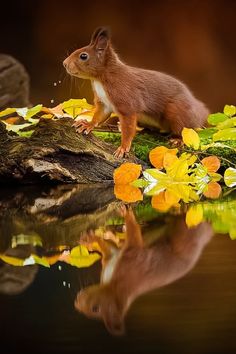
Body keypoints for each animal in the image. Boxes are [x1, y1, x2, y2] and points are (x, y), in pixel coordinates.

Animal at [63, 26, 209, 156]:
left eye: (83, 56)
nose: (64, 63)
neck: (101, 79)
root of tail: (199, 112)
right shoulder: (104, 103)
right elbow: (99, 116)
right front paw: (87, 124)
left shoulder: (127, 102)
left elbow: (127, 128)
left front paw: (123, 147)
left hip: (177, 112)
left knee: (185, 128)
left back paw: (178, 140)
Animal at [74, 205, 213, 334]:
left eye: (95, 308)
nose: (77, 302)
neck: (115, 287)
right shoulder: (113, 257)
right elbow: (107, 248)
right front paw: (89, 240)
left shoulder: (133, 261)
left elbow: (134, 236)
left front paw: (127, 214)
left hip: (186, 230)